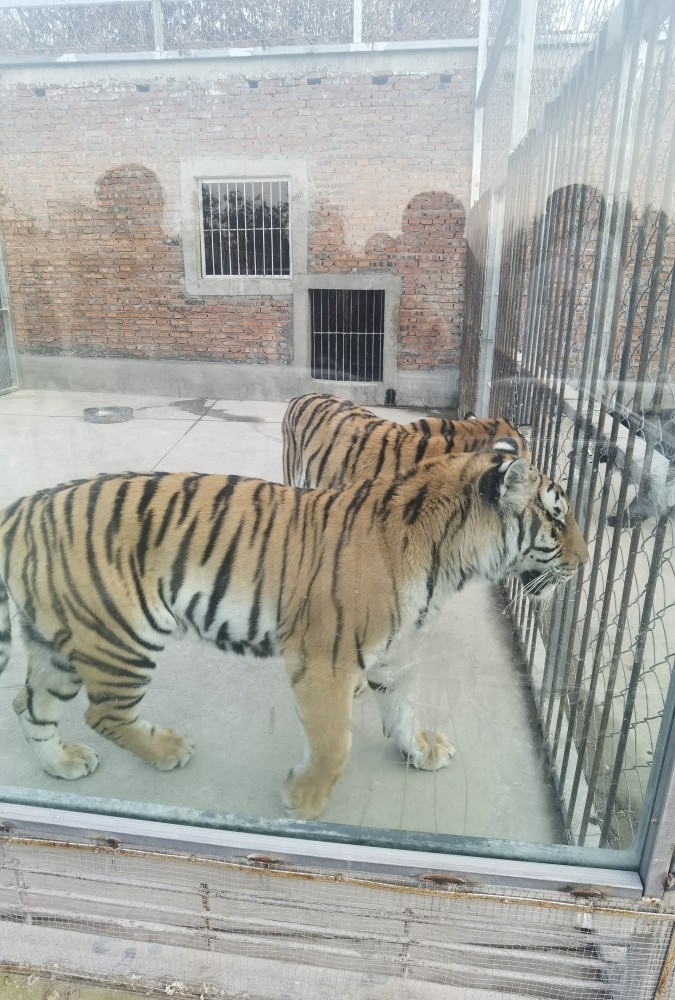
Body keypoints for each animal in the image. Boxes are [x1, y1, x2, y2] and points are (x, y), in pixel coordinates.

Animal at [0, 450, 587, 820]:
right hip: (120, 637)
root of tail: (25, 507)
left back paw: (62, 764)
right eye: (557, 521)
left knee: (28, 705)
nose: (585, 563)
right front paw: (301, 801)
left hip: (59, 644)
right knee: (103, 714)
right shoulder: (325, 660)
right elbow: (334, 743)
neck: (451, 563)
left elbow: (404, 709)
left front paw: (421, 751)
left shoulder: (395, 655)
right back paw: (167, 749)